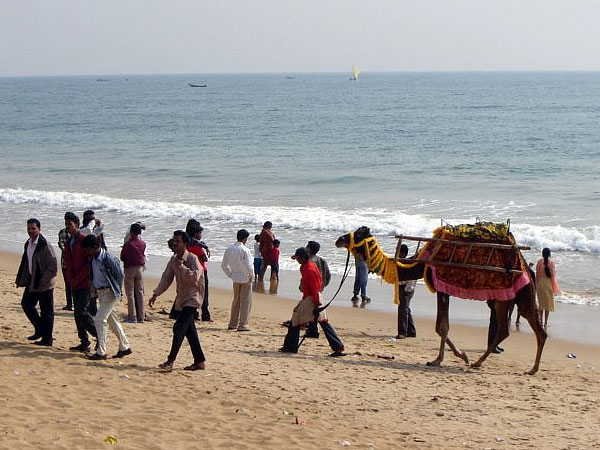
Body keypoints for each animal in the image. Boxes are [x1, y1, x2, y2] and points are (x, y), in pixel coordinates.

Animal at [336, 227, 548, 374]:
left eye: (359, 233)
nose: (339, 239)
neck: (422, 262)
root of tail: (526, 268)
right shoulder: (442, 291)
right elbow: (441, 327)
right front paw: (458, 356)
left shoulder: (441, 289)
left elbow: (442, 326)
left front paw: (444, 359)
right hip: (503, 300)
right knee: (506, 329)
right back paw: (479, 362)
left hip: (521, 295)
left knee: (538, 330)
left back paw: (531, 369)